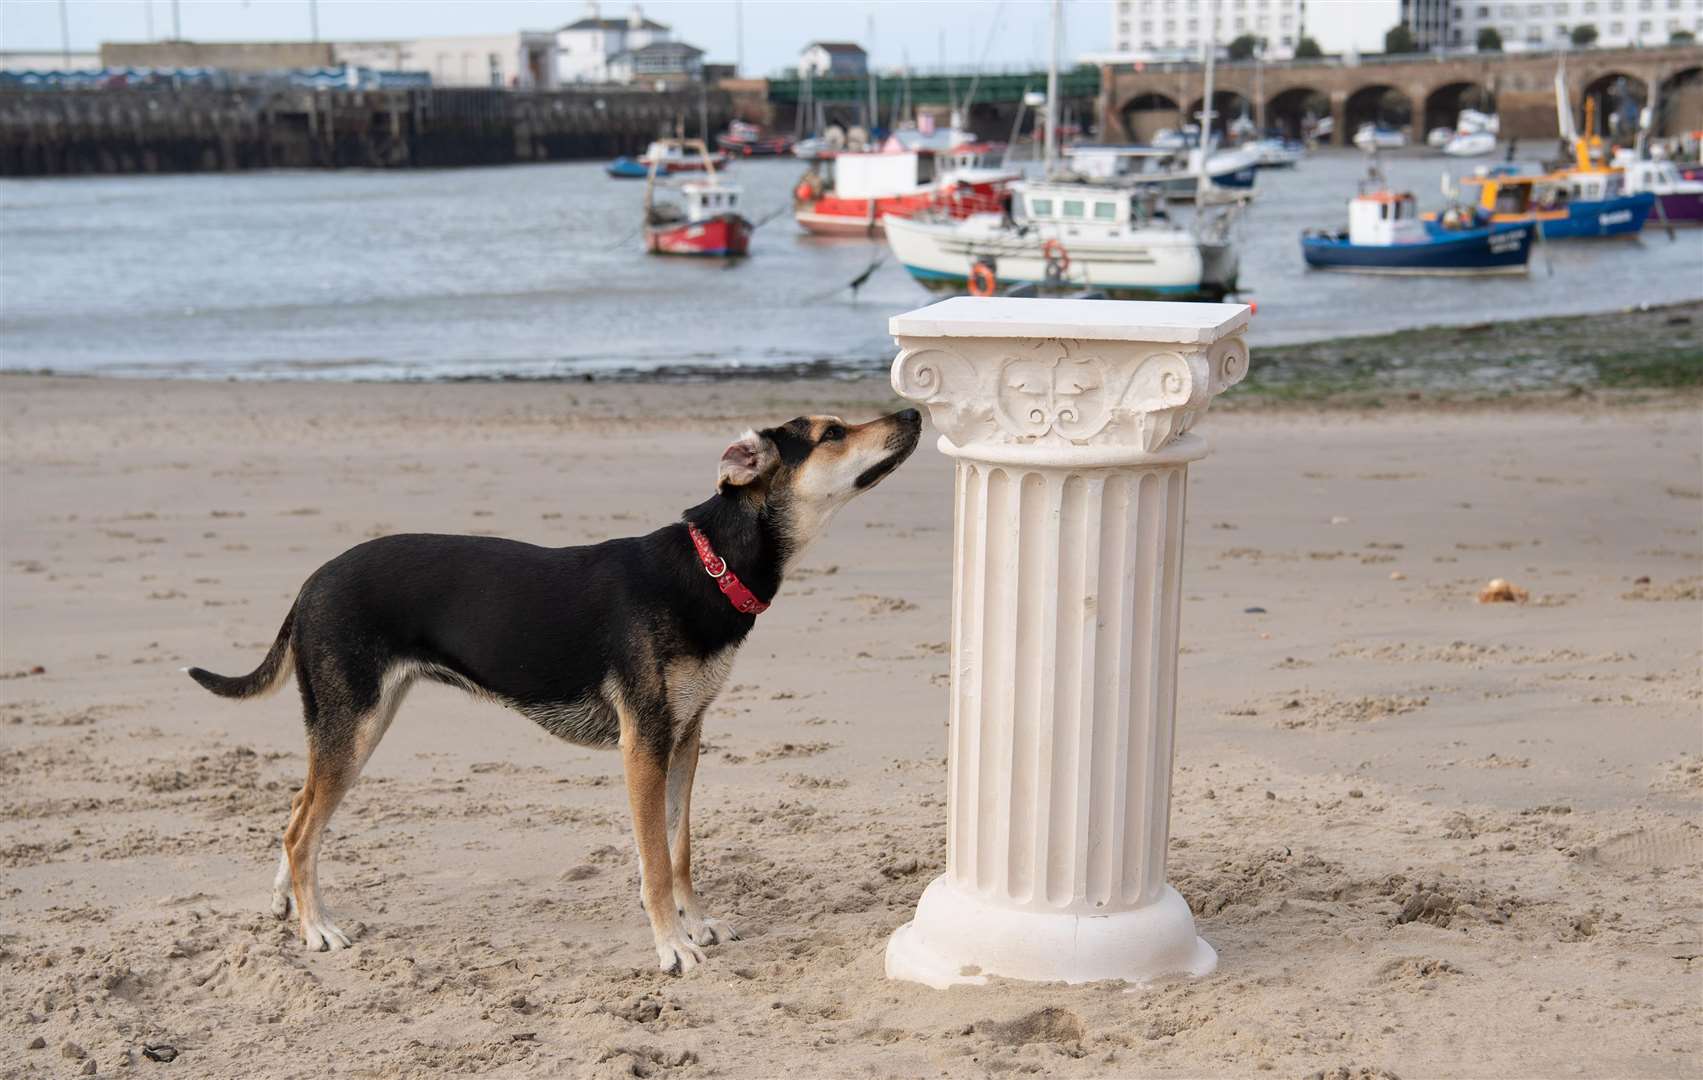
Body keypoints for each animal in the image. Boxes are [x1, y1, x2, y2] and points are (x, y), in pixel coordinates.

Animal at [189, 407, 919, 974]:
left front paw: (697, 921)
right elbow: (655, 862)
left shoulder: (687, 737)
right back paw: (317, 928)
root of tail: (309, 584)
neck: (710, 566)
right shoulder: (644, 745)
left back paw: (289, 902)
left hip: (359, 720)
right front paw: (672, 946)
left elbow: (681, 847)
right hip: (356, 724)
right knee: (302, 831)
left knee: (298, 812)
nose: (912, 414)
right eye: (831, 432)